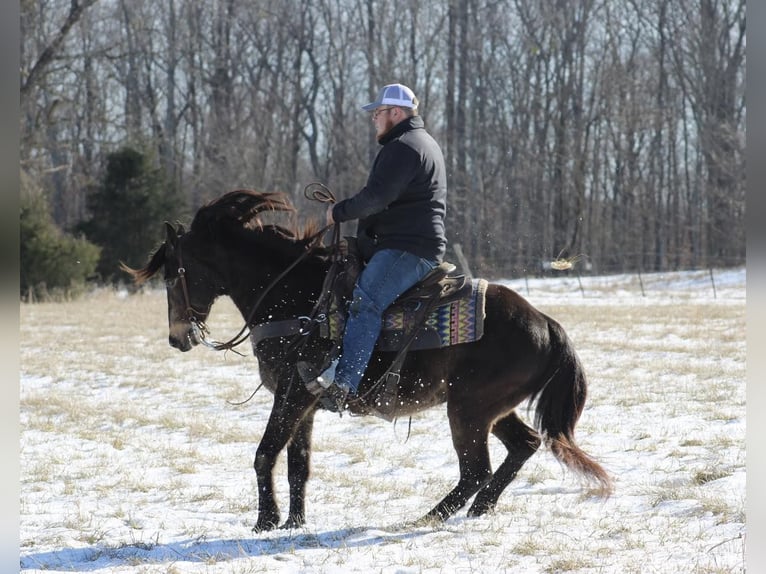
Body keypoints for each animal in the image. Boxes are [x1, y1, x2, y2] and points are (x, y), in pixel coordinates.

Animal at [123, 191, 616, 532]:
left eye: (173, 274)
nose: (177, 338)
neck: (294, 295)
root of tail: (547, 324)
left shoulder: (291, 393)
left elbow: (265, 454)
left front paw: (265, 521)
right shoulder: (304, 399)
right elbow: (298, 462)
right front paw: (293, 523)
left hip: (468, 410)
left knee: (477, 469)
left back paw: (430, 516)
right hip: (490, 408)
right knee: (523, 445)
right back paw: (479, 509)